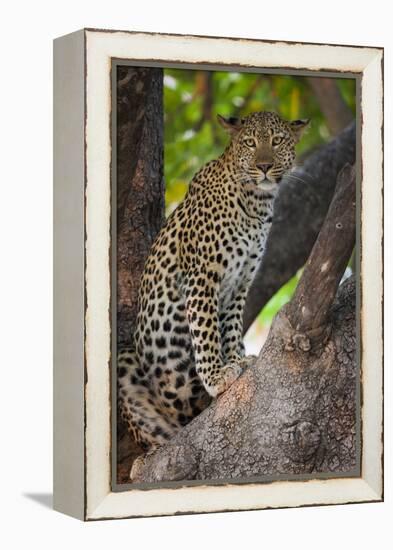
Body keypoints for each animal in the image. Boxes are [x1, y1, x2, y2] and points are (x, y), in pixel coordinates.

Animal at [118, 111, 308, 478]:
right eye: (250, 142)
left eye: (276, 141)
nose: (265, 166)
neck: (256, 204)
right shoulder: (202, 276)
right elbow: (206, 331)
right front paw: (217, 377)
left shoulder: (241, 283)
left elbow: (229, 329)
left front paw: (236, 360)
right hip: (128, 363)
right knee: (163, 431)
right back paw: (147, 458)